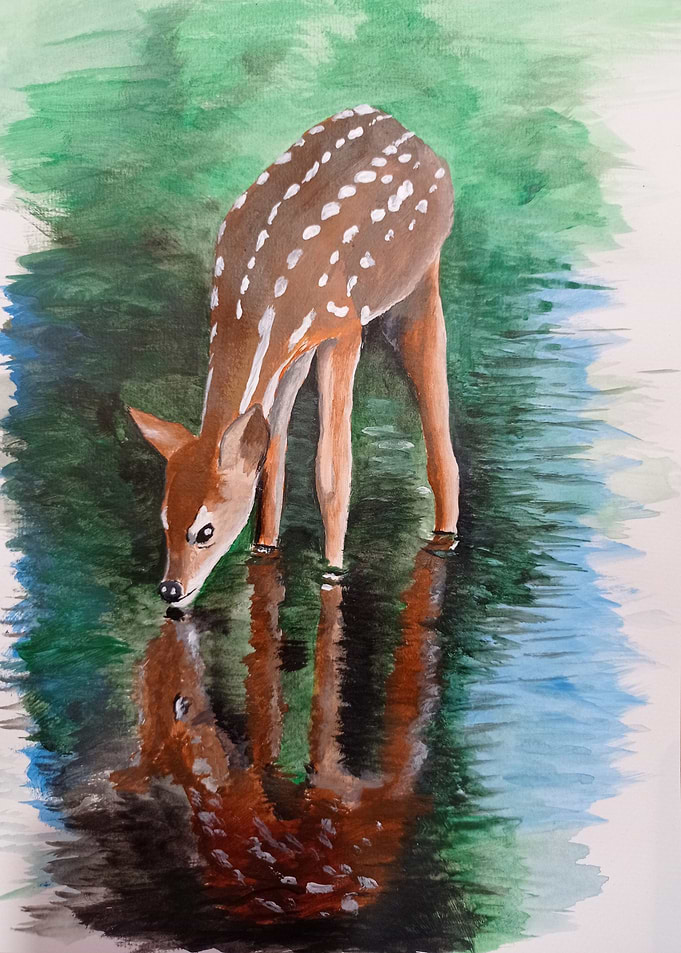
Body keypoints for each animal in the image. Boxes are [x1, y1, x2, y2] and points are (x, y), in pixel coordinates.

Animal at [129, 104, 459, 607]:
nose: (171, 589)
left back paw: (446, 536)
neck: (259, 305)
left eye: (204, 531)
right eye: (164, 519)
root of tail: (407, 129)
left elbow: (332, 469)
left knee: (433, 390)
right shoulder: (291, 356)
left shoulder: (342, 327)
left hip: (421, 275)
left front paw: (334, 569)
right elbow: (272, 456)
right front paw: (264, 548)